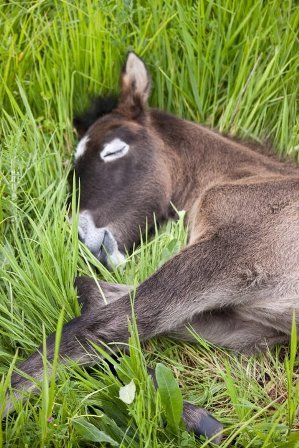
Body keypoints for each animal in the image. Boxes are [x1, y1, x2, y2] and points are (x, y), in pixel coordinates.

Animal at [5, 52, 299, 440]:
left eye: (114, 150)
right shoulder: (252, 327)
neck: (249, 179)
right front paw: (195, 417)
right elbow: (97, 303)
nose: (81, 240)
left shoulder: (224, 255)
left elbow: (88, 329)